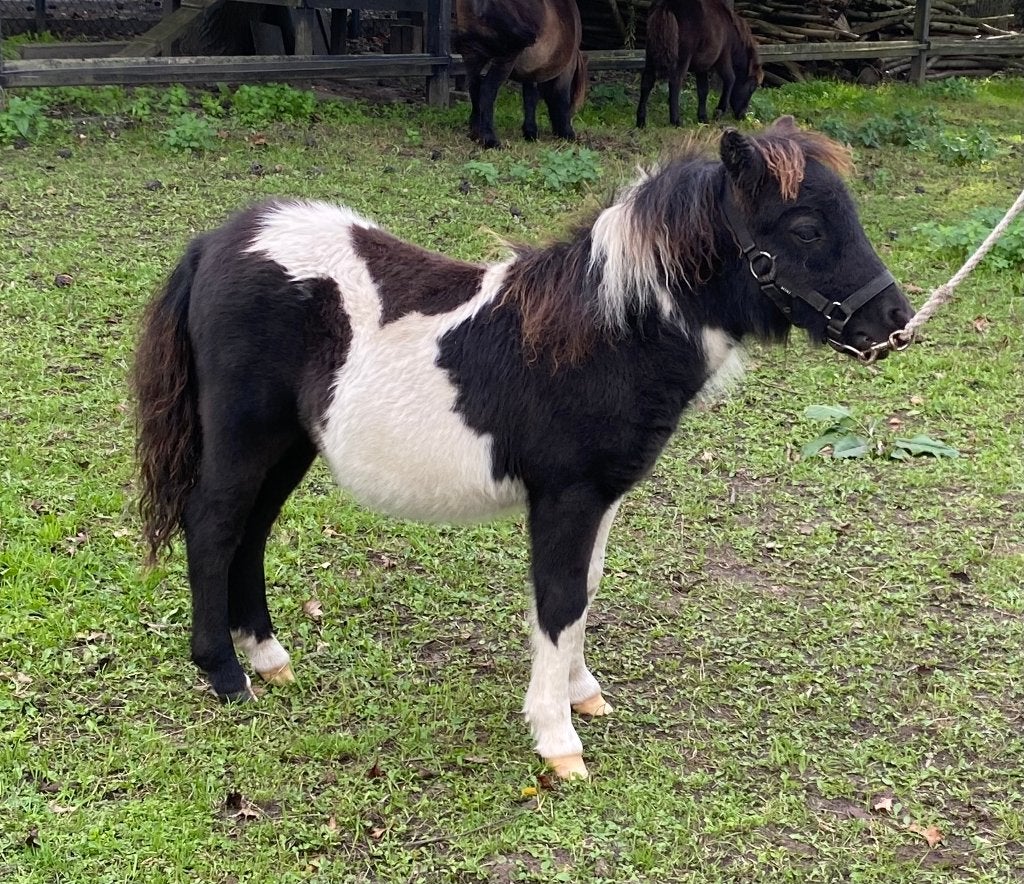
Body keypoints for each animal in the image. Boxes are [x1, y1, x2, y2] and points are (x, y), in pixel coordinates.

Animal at [134, 117, 913, 780]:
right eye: (806, 227)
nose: (894, 323)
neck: (605, 335)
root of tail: (216, 243)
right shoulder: (565, 497)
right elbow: (559, 598)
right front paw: (556, 739)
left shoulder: (602, 497)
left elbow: (585, 590)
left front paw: (581, 693)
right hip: (245, 436)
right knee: (214, 528)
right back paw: (225, 673)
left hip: (288, 446)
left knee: (252, 533)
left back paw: (268, 657)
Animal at [454, 0, 588, 148]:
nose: (556, 131)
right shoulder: (566, 69)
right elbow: (562, 97)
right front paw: (567, 133)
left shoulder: (532, 72)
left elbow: (530, 98)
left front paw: (530, 132)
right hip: (505, 58)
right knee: (487, 90)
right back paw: (490, 139)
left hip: (473, 56)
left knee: (474, 88)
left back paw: (476, 133)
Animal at [636, 0, 763, 128]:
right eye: (752, 88)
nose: (742, 115)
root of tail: (665, 4)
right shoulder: (724, 58)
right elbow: (730, 79)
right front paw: (719, 111)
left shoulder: (701, 67)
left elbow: (703, 90)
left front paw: (703, 118)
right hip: (682, 58)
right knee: (675, 82)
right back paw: (676, 121)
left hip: (650, 54)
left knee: (647, 81)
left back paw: (641, 121)